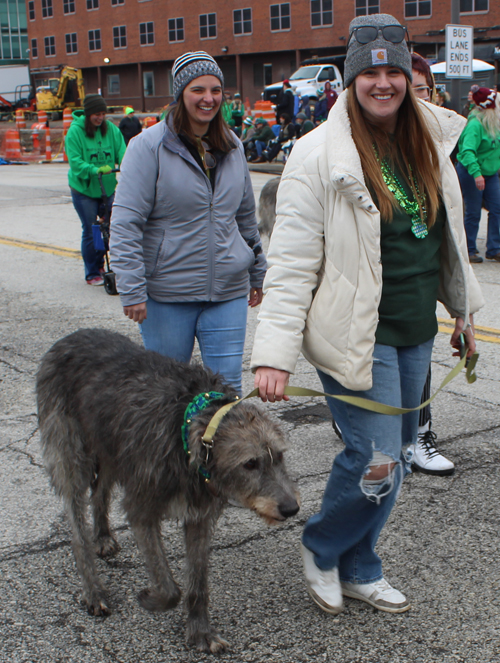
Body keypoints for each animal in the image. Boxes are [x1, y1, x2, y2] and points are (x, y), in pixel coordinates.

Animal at [37, 330, 300, 656]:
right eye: (250, 463)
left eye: (280, 456)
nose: (291, 508)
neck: (186, 429)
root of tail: (71, 337)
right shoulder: (142, 508)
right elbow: (170, 586)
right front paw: (151, 599)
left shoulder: (199, 515)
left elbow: (197, 584)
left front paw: (200, 631)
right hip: (69, 451)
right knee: (76, 522)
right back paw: (93, 589)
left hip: (110, 449)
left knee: (100, 492)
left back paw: (103, 536)